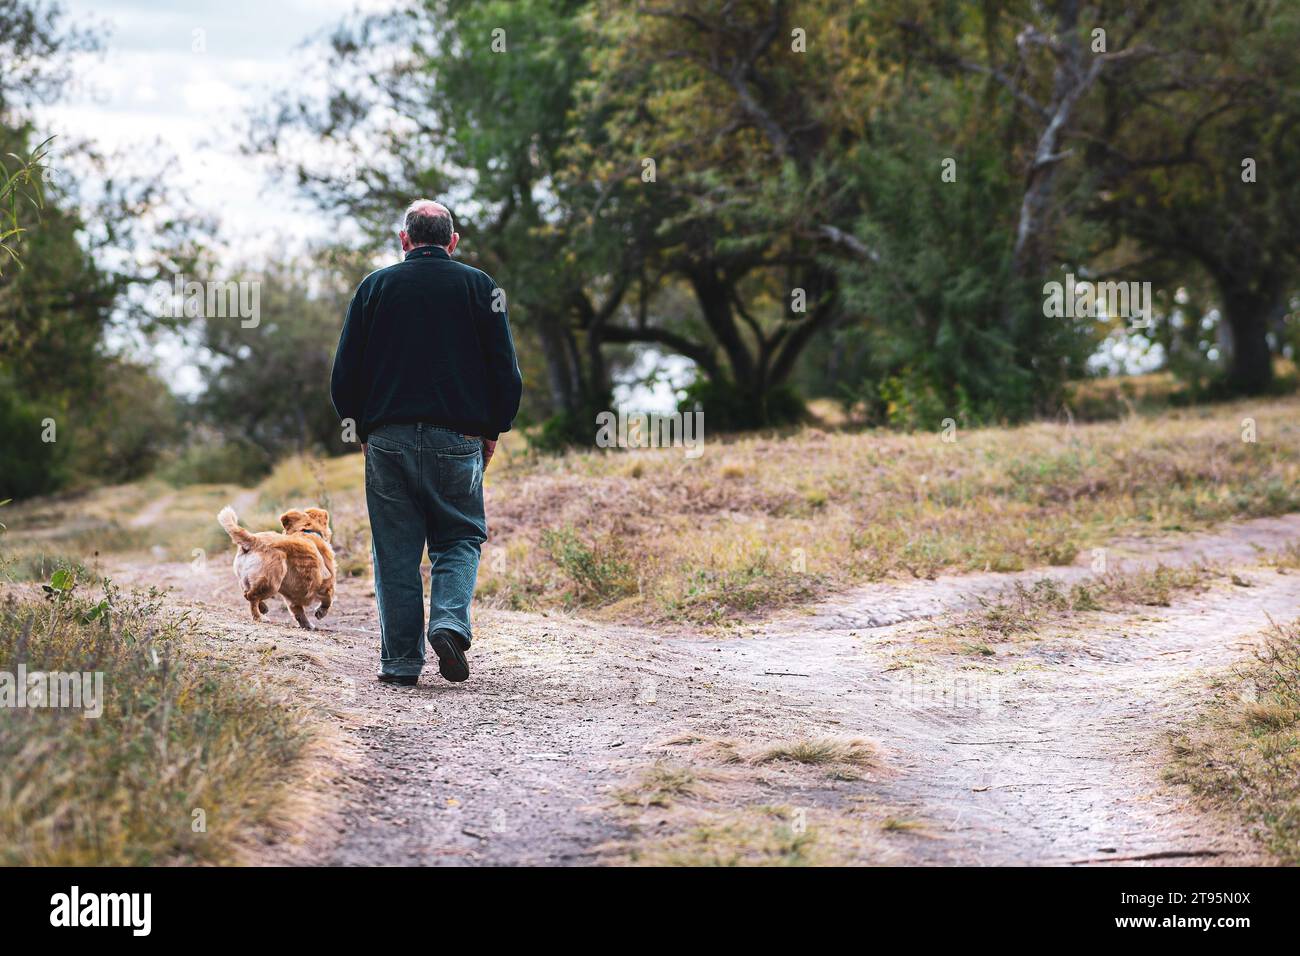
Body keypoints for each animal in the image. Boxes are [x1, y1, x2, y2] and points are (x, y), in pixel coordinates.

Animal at [217, 504, 335, 632]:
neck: (306, 531)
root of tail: (254, 540)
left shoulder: (292, 598)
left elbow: (299, 612)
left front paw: (307, 625)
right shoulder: (327, 582)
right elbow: (328, 600)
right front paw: (321, 612)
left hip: (247, 580)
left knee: (247, 594)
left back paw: (263, 609)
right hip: (271, 583)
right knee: (251, 596)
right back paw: (259, 617)